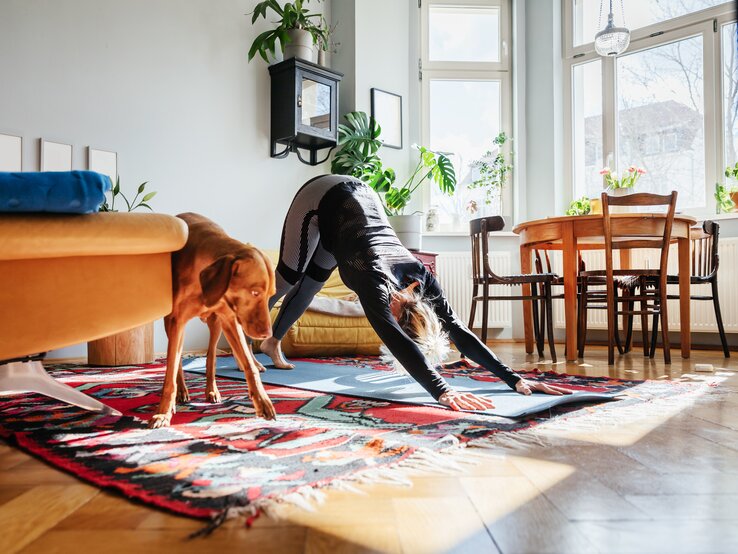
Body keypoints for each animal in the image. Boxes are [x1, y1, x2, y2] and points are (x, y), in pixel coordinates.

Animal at [148, 211, 274, 426]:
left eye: (270, 295)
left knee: (211, 357)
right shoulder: (177, 322)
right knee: (178, 361)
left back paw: (212, 389)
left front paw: (262, 400)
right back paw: (182, 391)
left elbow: (249, 365)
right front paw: (163, 413)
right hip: (171, 323)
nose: (267, 334)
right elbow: (171, 371)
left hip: (216, 324)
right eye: (255, 292)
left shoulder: (230, 320)